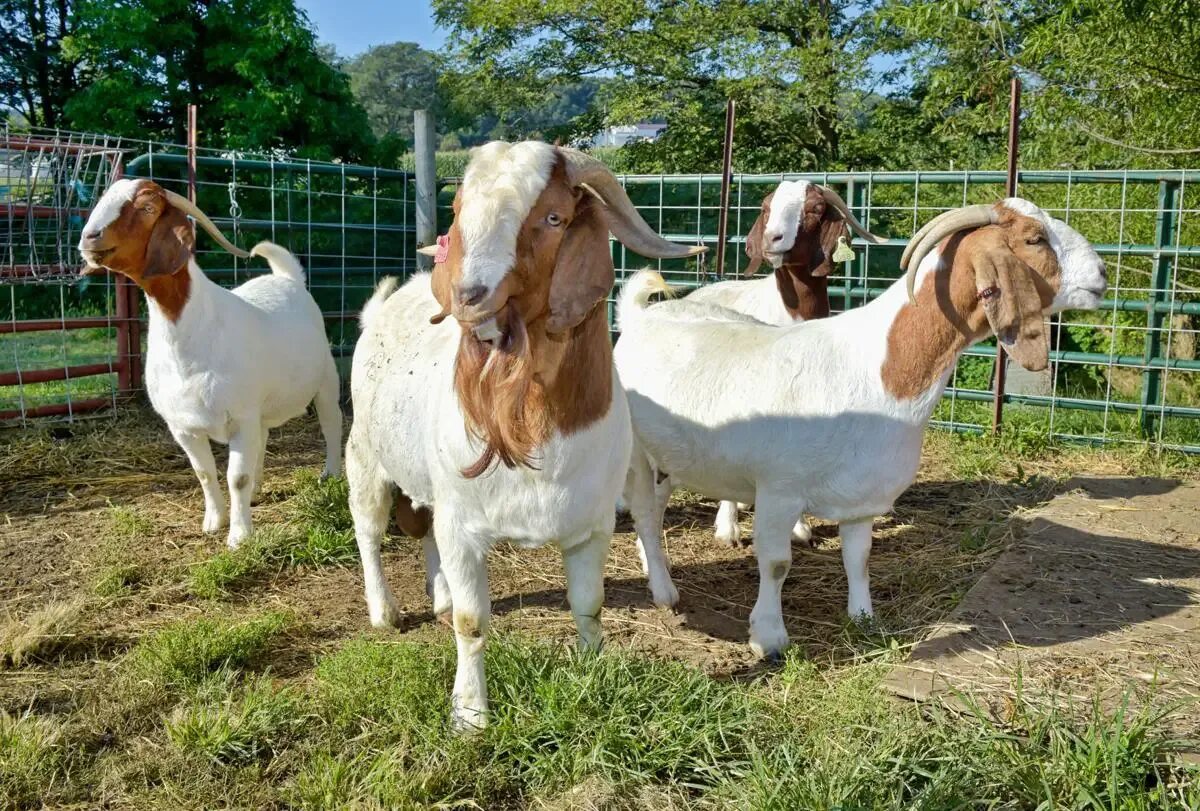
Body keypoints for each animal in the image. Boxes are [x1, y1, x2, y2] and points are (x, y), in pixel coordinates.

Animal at [78, 177, 343, 544]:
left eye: (148, 207)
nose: (89, 237)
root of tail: (287, 278)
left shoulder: (240, 416)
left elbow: (236, 477)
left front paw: (239, 536)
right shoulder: (183, 426)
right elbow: (204, 473)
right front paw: (214, 522)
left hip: (325, 380)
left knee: (332, 424)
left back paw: (330, 475)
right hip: (260, 408)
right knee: (263, 439)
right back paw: (258, 490)